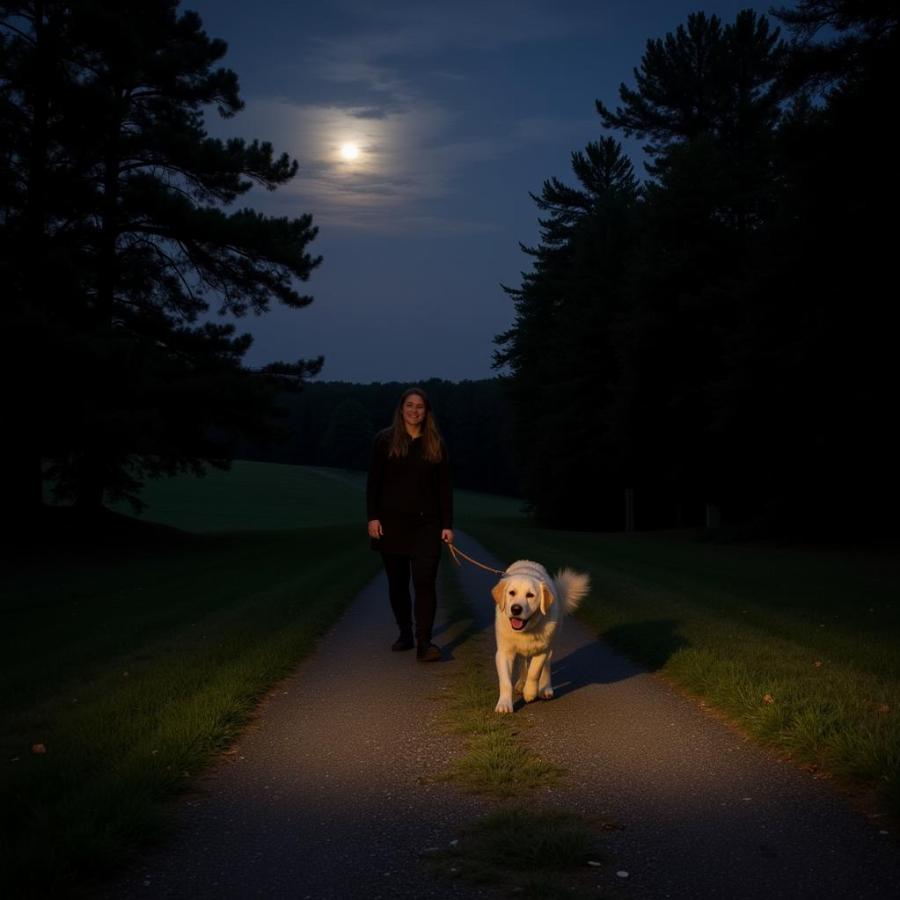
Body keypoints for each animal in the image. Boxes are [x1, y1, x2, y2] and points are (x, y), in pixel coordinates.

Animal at [492, 560, 592, 712]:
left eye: (530, 595)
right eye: (511, 593)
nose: (516, 609)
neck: (527, 629)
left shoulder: (542, 650)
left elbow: (534, 672)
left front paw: (530, 693)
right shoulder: (504, 652)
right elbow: (505, 681)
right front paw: (504, 704)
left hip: (550, 645)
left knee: (546, 666)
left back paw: (545, 689)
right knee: (523, 662)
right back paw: (521, 683)